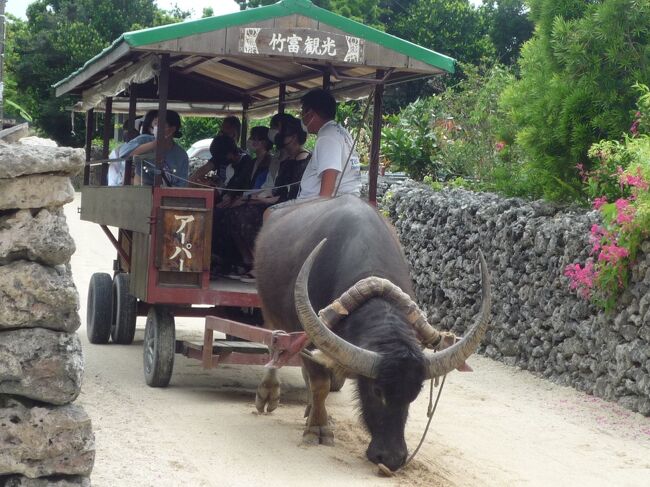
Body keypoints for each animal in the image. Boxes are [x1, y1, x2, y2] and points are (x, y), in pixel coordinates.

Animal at [251, 195, 488, 472]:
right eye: (376, 391)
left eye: (414, 394)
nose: (392, 458)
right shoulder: (308, 332)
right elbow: (320, 383)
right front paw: (318, 429)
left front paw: (316, 418)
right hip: (271, 313)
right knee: (276, 345)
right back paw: (269, 392)